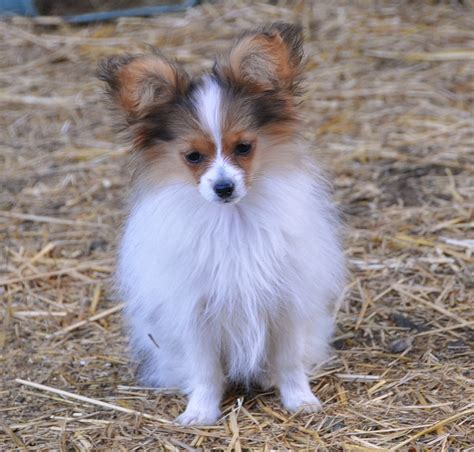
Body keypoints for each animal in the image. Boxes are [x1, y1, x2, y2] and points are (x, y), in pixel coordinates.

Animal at [98, 23, 346, 426]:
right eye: (193, 156)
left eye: (243, 148)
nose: (224, 187)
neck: (233, 222)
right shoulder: (195, 311)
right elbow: (206, 371)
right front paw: (200, 411)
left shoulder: (286, 302)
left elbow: (289, 362)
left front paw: (299, 399)